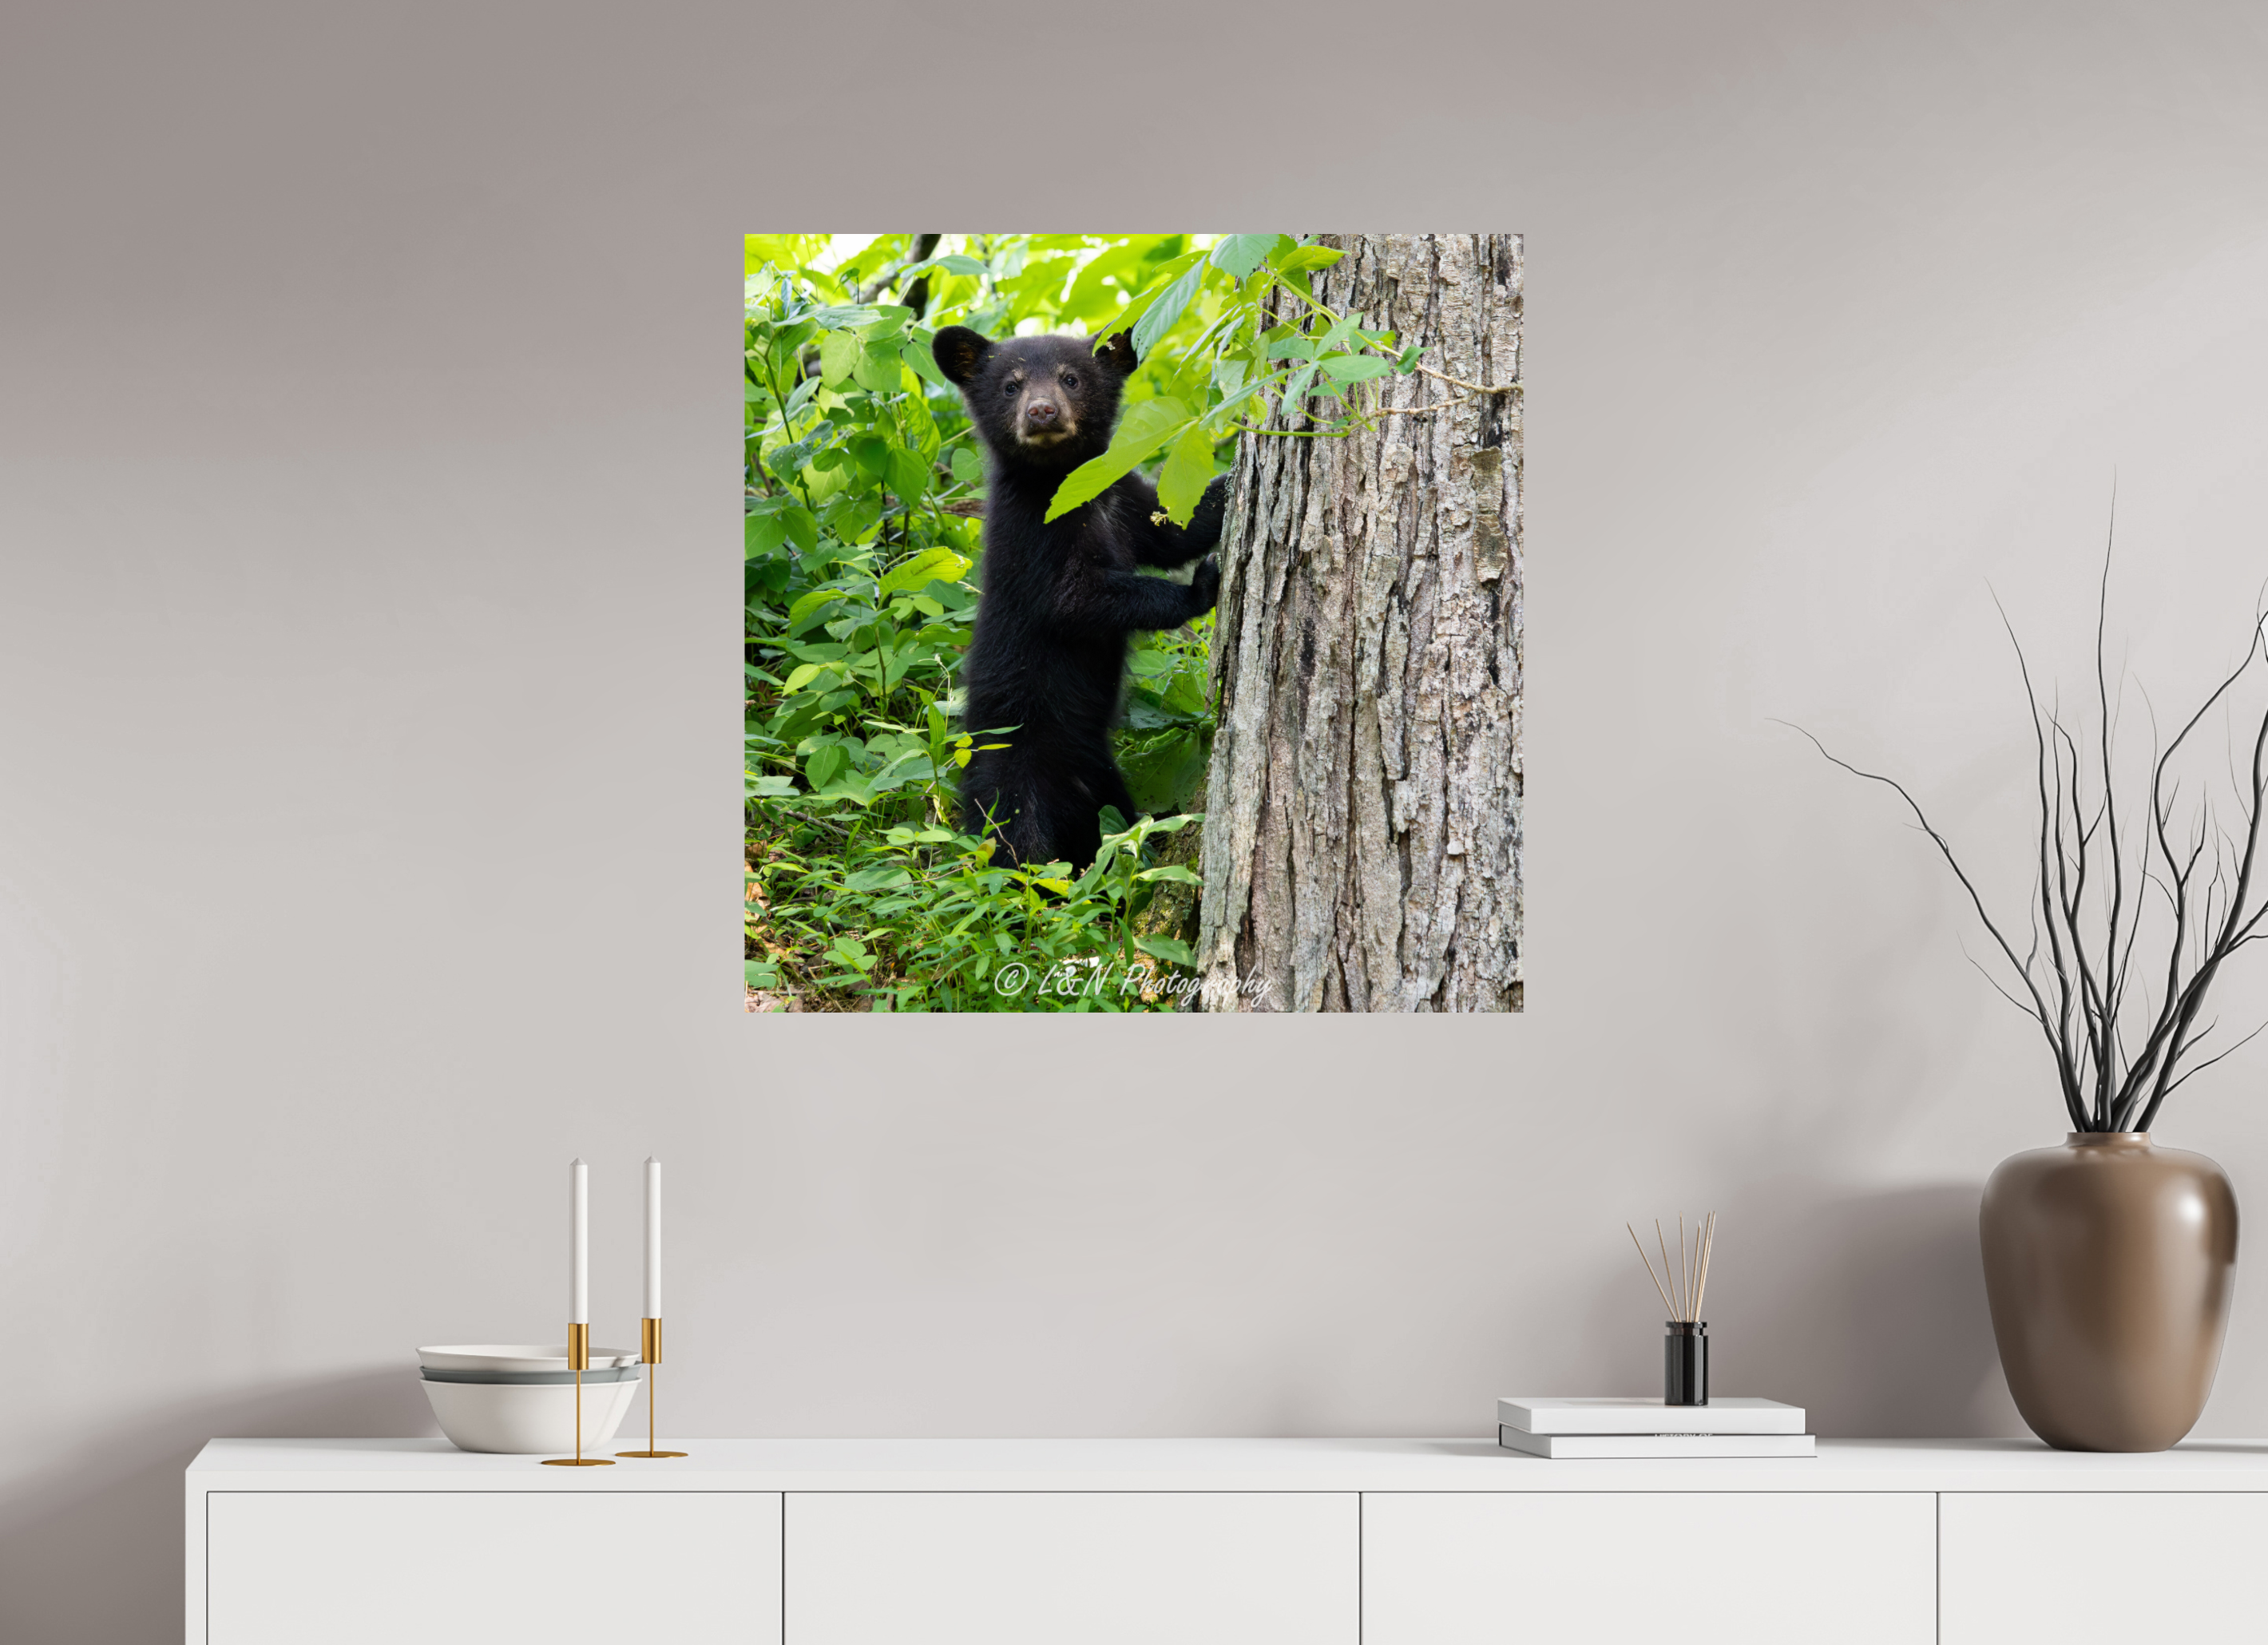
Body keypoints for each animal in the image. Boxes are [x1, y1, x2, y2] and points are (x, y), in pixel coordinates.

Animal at [931, 324, 1227, 872]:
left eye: (1071, 378)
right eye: (1011, 386)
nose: (1042, 411)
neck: (1065, 481)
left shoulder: (1122, 496)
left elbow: (1175, 525)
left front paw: (1232, 477)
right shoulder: (1030, 533)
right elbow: (1073, 601)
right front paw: (1200, 587)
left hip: (1101, 778)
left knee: (1111, 822)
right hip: (1009, 769)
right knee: (1009, 840)